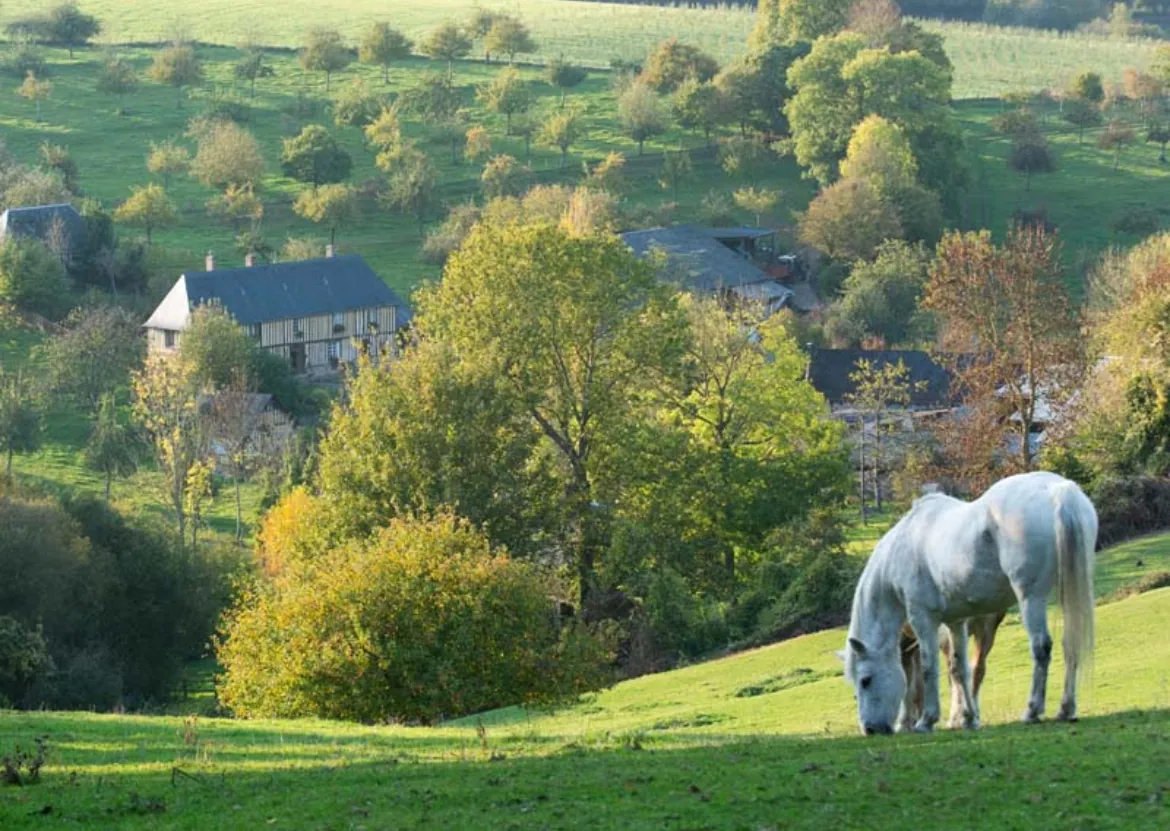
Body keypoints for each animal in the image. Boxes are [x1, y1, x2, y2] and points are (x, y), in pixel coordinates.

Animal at [843, 471, 1097, 735]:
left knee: (1041, 648)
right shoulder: (956, 622)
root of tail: (1059, 490)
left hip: (1031, 598)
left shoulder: (923, 620)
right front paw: (967, 718)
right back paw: (1066, 709)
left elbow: (929, 667)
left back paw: (1032, 711)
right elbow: (959, 668)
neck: (903, 547)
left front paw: (927, 720)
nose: (870, 729)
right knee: (1070, 643)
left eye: (865, 680)